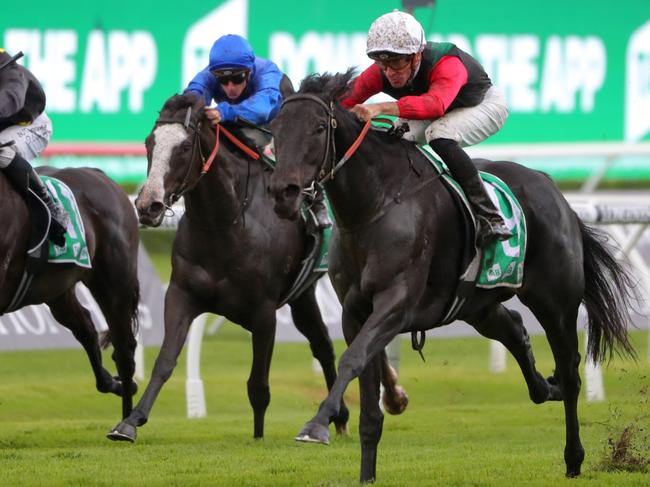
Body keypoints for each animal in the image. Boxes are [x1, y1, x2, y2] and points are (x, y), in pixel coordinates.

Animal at [0, 166, 139, 422]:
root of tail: (100, 175)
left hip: (114, 284)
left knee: (124, 349)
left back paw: (127, 422)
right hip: (59, 292)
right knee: (87, 329)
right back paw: (113, 383)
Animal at [107, 93, 374, 444]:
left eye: (185, 146)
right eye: (149, 143)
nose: (147, 206)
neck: (224, 222)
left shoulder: (263, 312)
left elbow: (258, 385)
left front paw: (258, 436)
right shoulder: (181, 295)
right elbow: (164, 361)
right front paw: (130, 421)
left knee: (322, 346)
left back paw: (337, 417)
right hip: (301, 298)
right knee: (322, 345)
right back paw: (339, 417)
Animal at [268, 71, 632, 484]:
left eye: (317, 128)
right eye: (275, 129)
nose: (283, 193)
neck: (376, 204)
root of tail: (553, 189)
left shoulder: (396, 305)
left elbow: (352, 358)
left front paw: (316, 426)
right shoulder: (354, 312)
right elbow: (368, 399)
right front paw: (366, 474)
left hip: (555, 302)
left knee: (570, 372)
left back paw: (573, 456)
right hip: (477, 305)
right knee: (515, 330)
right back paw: (545, 386)